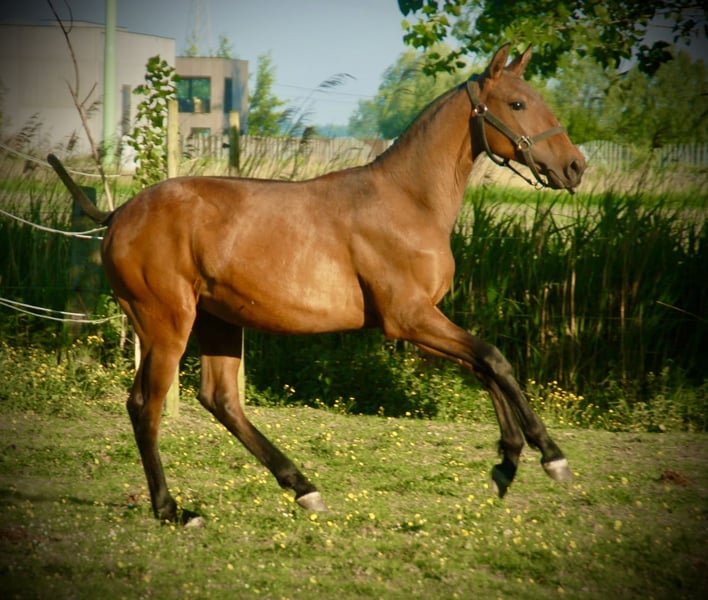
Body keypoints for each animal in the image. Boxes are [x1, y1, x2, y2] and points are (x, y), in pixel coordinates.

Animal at [49, 44, 585, 524]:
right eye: (517, 104)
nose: (575, 165)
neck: (409, 201)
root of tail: (119, 213)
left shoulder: (423, 322)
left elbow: (485, 364)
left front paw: (508, 461)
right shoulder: (408, 319)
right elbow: (494, 358)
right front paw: (549, 455)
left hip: (217, 322)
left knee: (221, 400)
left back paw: (303, 488)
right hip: (165, 324)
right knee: (146, 407)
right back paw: (174, 510)